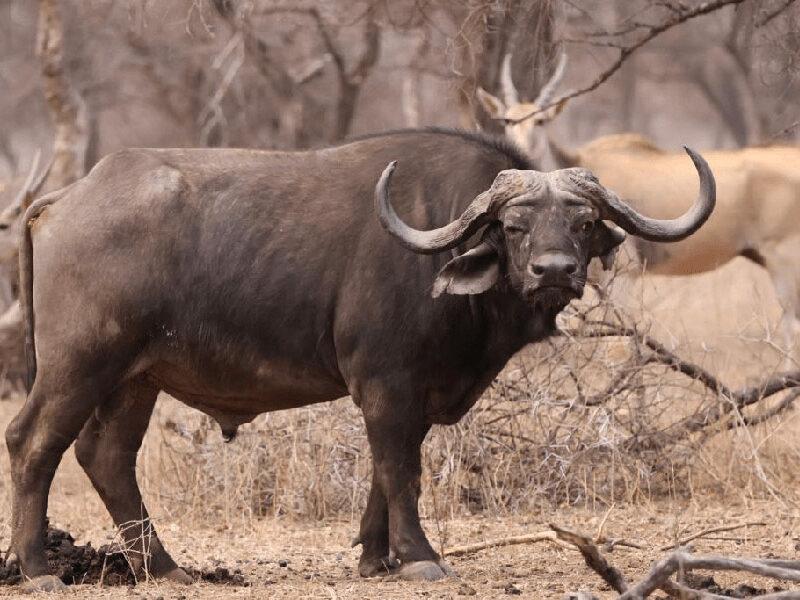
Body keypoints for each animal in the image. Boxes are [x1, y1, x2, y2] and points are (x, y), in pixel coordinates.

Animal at [5, 128, 715, 592]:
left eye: (584, 223)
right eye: (514, 226)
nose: (555, 271)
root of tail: (64, 199)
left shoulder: (412, 393)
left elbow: (385, 467)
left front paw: (377, 556)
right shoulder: (386, 382)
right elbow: (401, 470)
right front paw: (421, 556)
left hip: (136, 377)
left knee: (107, 456)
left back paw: (166, 568)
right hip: (79, 363)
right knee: (33, 441)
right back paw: (39, 570)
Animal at [478, 55, 800, 358]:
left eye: (541, 121)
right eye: (507, 121)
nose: (519, 150)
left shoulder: (624, 277)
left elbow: (619, 344)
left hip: (785, 263)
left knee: (792, 328)